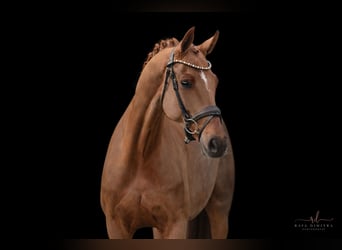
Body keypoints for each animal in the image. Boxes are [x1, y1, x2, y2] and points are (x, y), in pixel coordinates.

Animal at [99, 26, 235, 239]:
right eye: (186, 82)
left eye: (215, 82)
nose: (218, 142)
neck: (139, 157)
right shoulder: (116, 226)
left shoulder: (175, 225)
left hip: (219, 212)